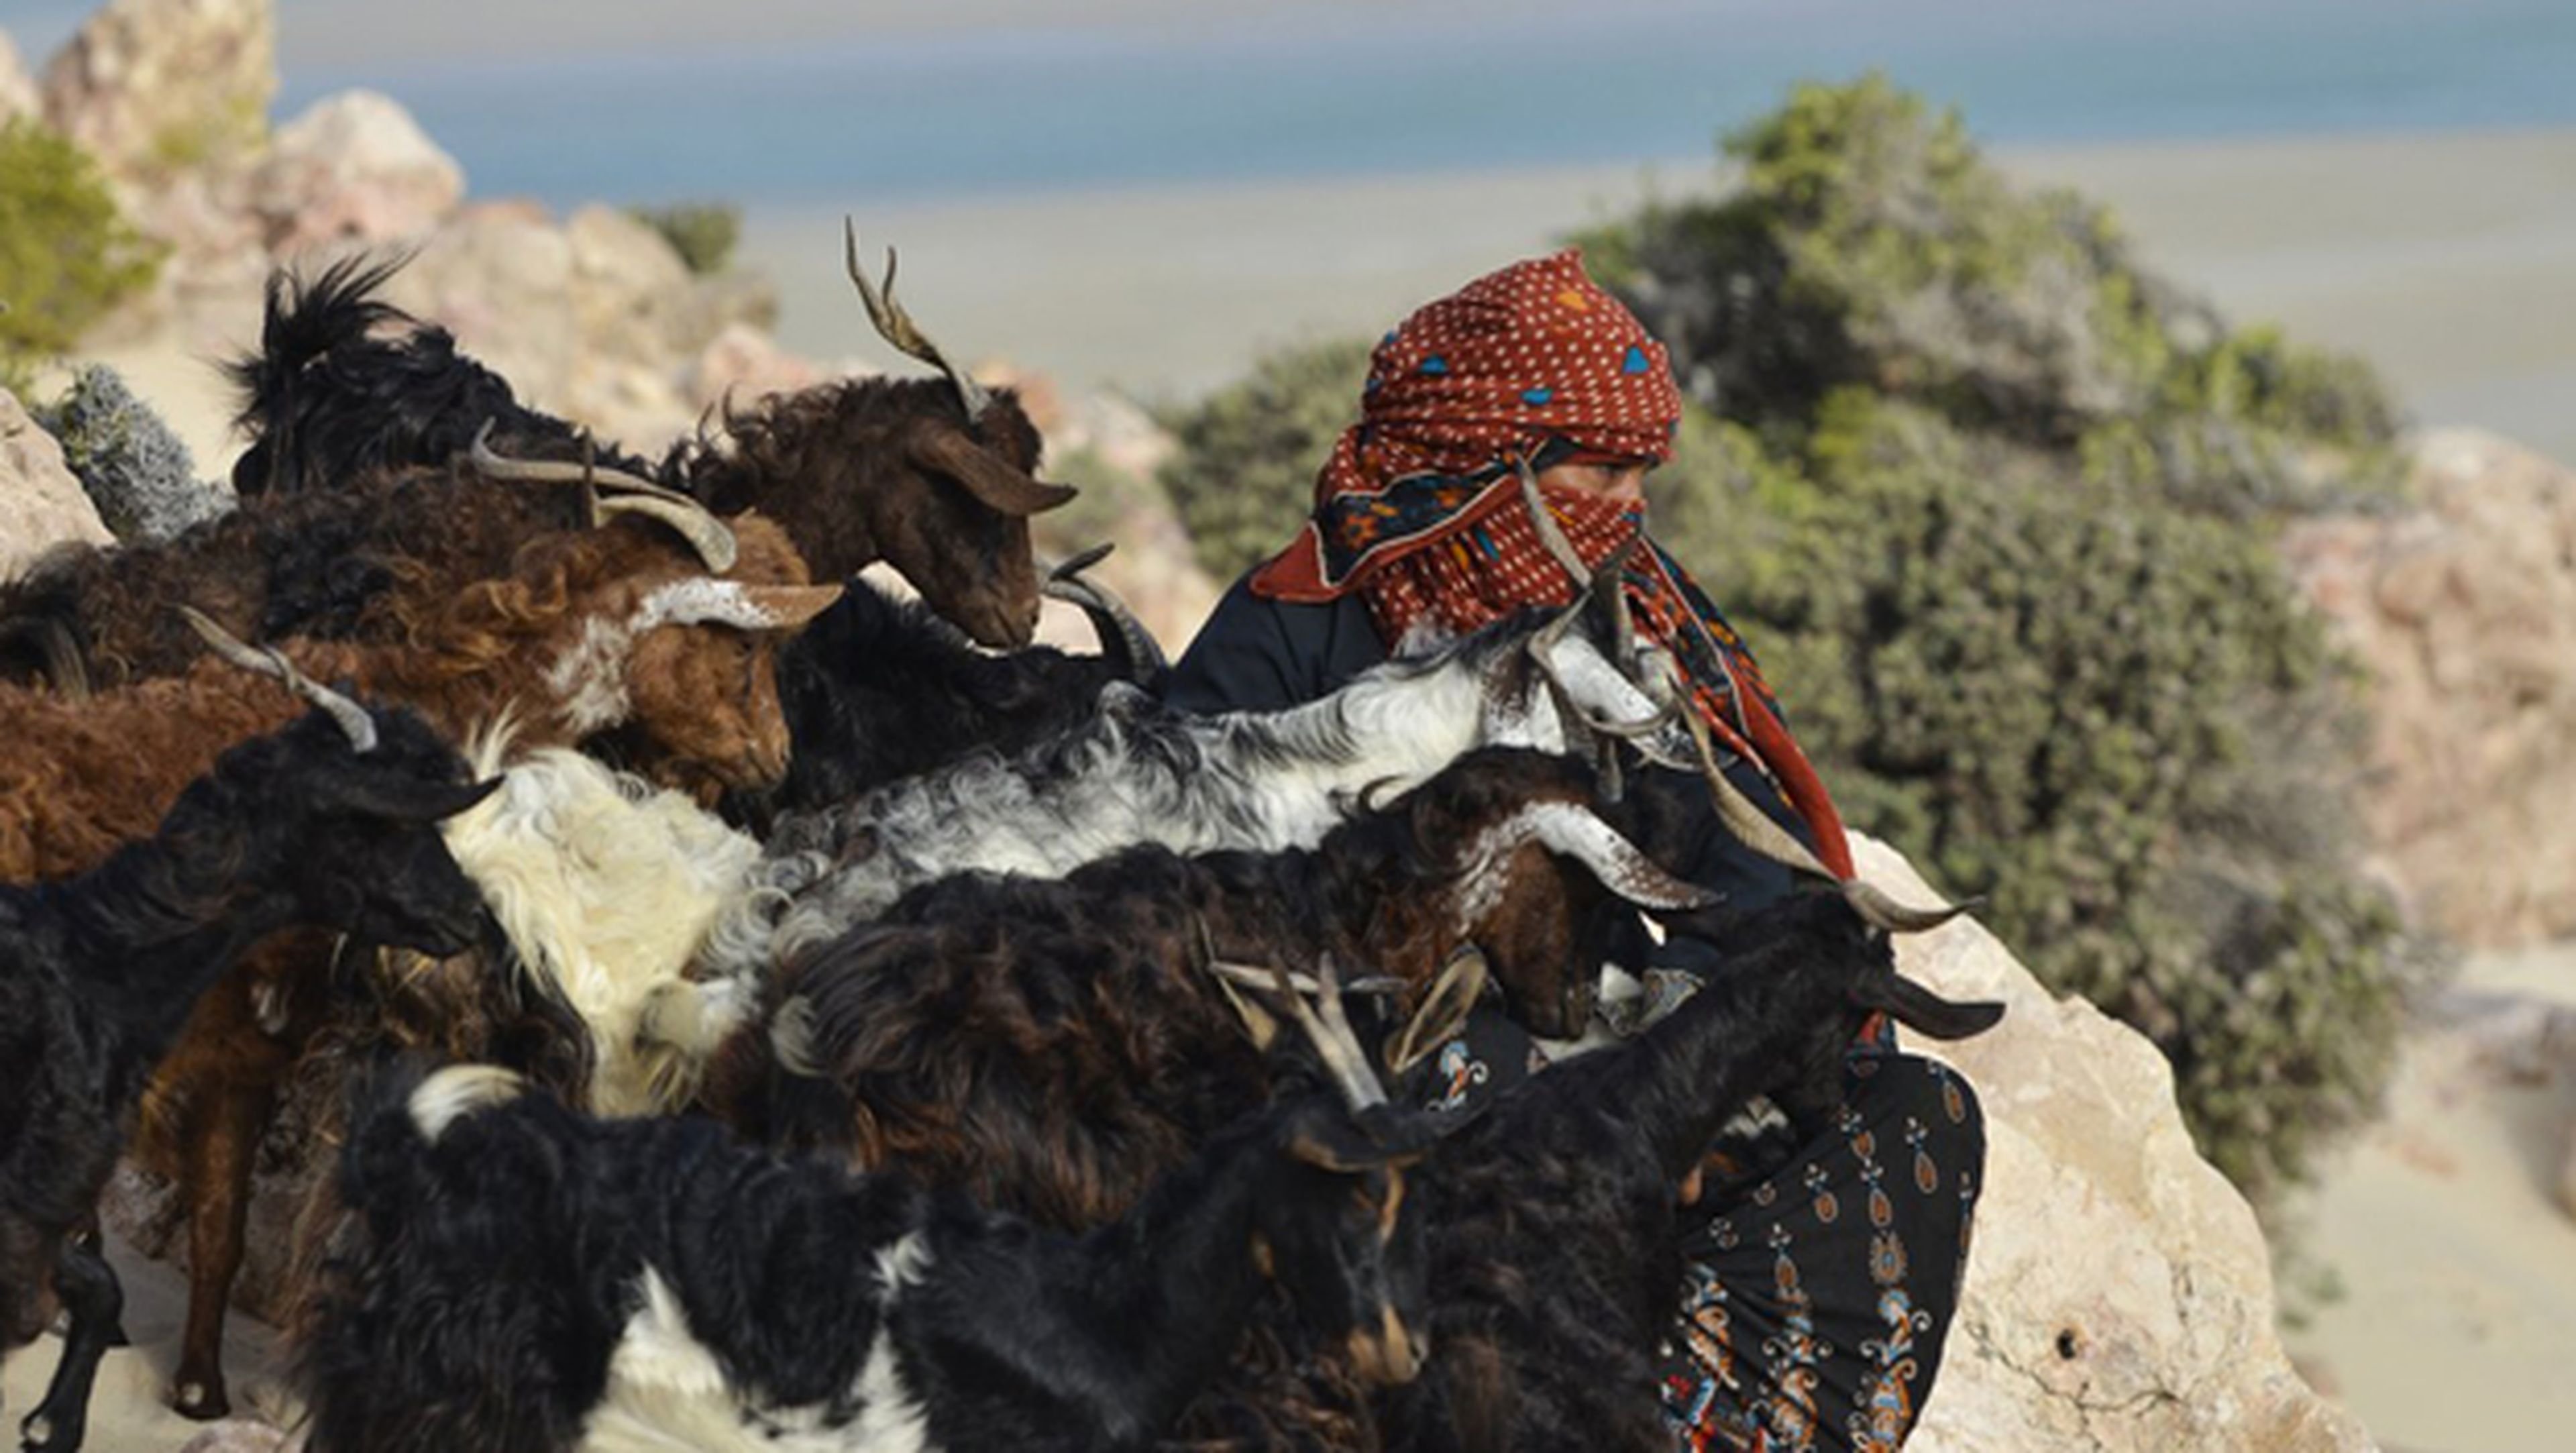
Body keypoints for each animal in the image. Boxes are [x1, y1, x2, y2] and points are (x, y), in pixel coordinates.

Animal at [0, 685, 497, 1453]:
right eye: (388, 823)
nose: (471, 913)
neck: (99, 962)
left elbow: (105, 1281)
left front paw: (52, 1424)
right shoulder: (29, 1203)